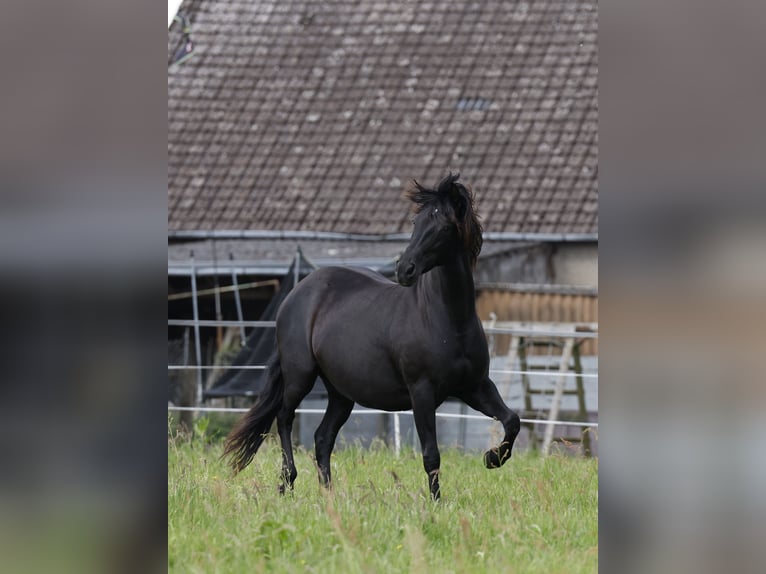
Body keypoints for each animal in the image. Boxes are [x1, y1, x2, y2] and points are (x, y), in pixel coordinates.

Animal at [222, 174, 520, 500]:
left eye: (443, 226)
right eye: (416, 222)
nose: (405, 270)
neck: (448, 320)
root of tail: (296, 293)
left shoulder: (475, 386)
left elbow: (512, 420)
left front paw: (492, 458)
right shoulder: (422, 392)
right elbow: (431, 455)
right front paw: (437, 503)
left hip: (341, 393)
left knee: (322, 437)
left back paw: (328, 496)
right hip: (300, 376)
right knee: (284, 418)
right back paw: (287, 482)